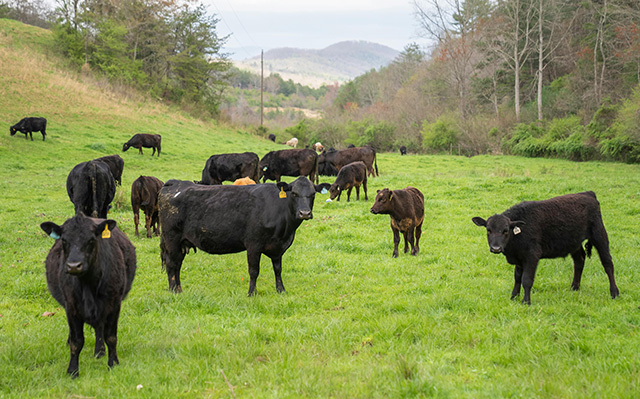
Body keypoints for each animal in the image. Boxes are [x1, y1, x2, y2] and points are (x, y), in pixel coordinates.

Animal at [40, 214, 136, 380]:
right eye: (64, 240)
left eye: (91, 240)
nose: (73, 266)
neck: (88, 285)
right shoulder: (71, 307)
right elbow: (76, 342)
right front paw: (72, 371)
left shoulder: (114, 305)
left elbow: (111, 337)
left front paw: (113, 364)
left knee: (100, 328)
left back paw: (100, 351)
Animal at [158, 177, 322, 296]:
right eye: (293, 193)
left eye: (313, 194)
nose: (305, 213)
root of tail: (176, 182)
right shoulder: (253, 245)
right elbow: (254, 271)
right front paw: (251, 293)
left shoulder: (278, 247)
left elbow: (278, 269)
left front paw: (281, 290)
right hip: (171, 239)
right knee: (171, 264)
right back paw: (173, 291)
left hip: (181, 242)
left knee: (178, 264)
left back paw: (179, 289)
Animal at [472, 192, 616, 304]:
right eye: (488, 230)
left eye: (505, 230)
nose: (496, 248)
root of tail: (588, 194)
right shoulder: (519, 257)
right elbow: (517, 277)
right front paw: (514, 297)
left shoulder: (532, 256)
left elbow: (526, 279)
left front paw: (526, 302)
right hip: (574, 243)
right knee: (579, 260)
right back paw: (574, 288)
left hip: (599, 234)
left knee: (608, 263)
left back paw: (614, 292)